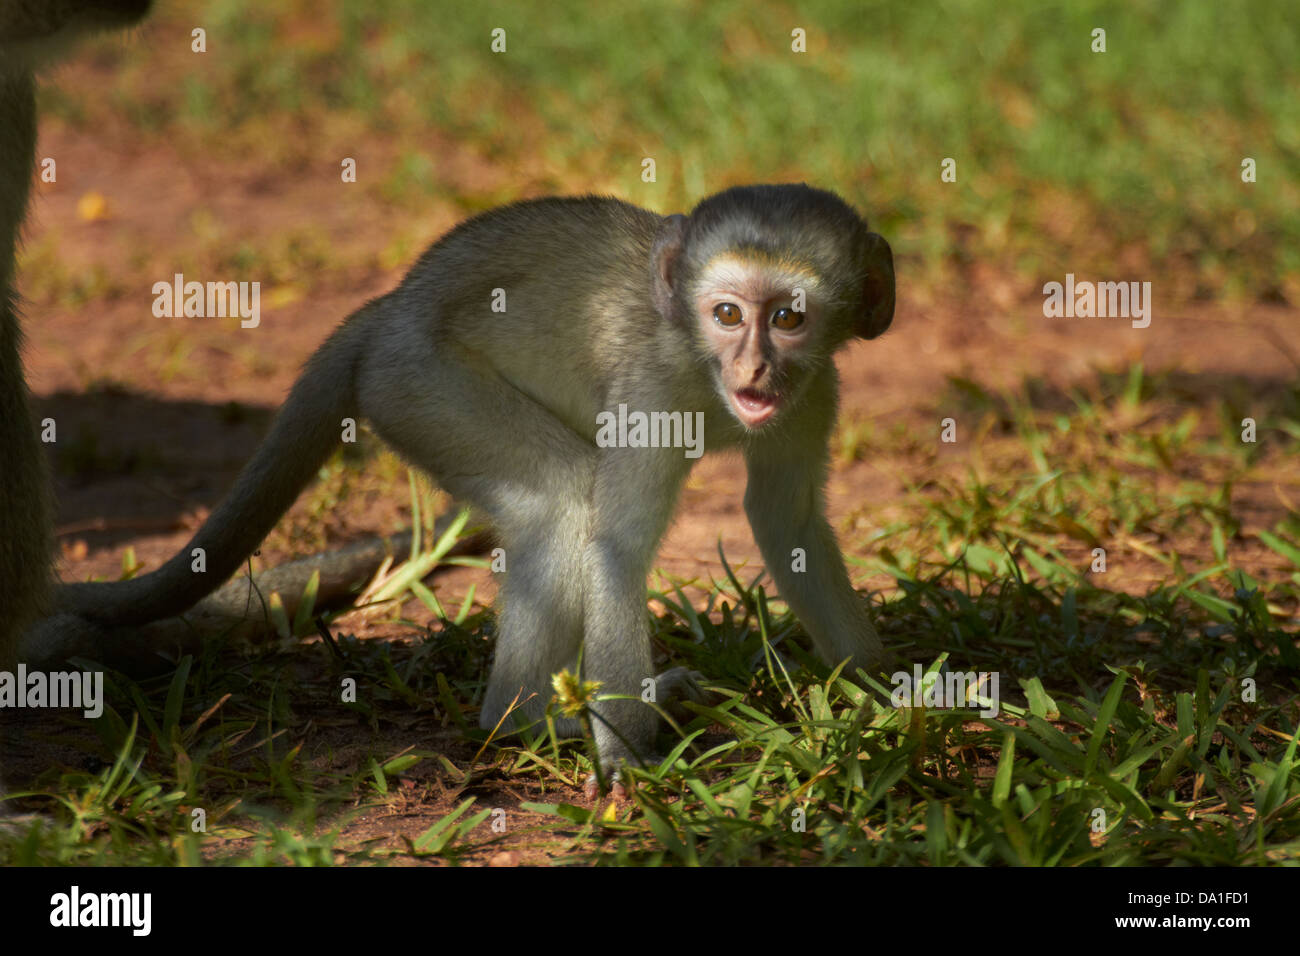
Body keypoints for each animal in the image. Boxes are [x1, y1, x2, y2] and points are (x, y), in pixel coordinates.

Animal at [48, 183, 894, 790]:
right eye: (726, 314)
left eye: (787, 319)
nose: (753, 367)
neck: (703, 364)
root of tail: (389, 312)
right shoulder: (654, 384)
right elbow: (616, 547)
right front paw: (627, 761)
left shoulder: (811, 392)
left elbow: (786, 521)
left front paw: (881, 694)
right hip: (418, 388)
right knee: (560, 503)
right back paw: (525, 726)